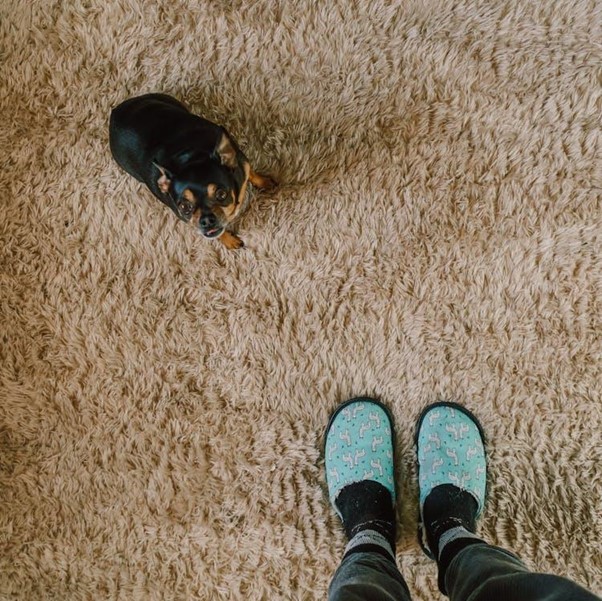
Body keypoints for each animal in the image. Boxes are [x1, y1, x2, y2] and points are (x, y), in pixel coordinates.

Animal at [109, 92, 274, 247]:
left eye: (221, 194)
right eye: (184, 207)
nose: (206, 220)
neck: (193, 157)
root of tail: (114, 112)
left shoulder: (243, 164)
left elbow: (251, 173)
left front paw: (265, 182)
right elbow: (218, 234)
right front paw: (229, 241)